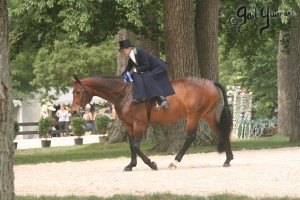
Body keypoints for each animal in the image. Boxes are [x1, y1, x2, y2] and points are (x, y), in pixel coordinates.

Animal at [71, 75, 234, 170]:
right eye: (73, 92)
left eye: (78, 92)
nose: (73, 111)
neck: (125, 94)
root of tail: (210, 82)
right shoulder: (128, 125)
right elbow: (131, 145)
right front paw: (131, 165)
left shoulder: (139, 123)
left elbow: (136, 145)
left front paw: (151, 164)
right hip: (207, 114)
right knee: (222, 132)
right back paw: (228, 159)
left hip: (194, 115)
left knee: (190, 137)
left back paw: (175, 162)